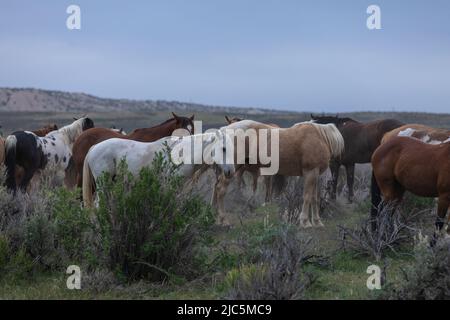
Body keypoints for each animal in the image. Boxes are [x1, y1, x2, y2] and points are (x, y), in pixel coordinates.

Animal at [214, 120, 344, 228]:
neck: (321, 138)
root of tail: (227, 129)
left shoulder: (316, 174)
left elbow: (314, 198)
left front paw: (317, 222)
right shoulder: (310, 173)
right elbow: (307, 197)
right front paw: (305, 222)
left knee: (219, 188)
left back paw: (220, 220)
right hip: (231, 170)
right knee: (221, 190)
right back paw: (224, 220)